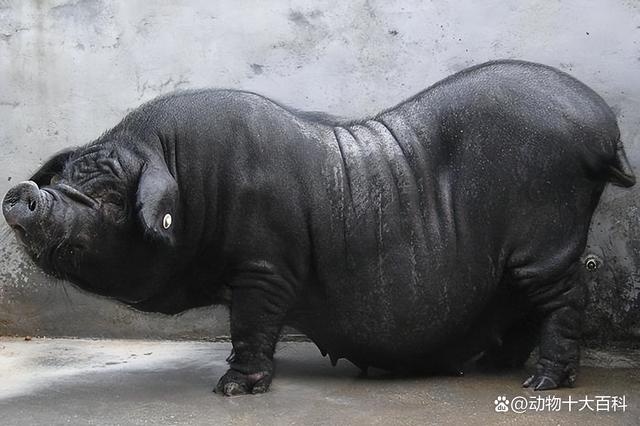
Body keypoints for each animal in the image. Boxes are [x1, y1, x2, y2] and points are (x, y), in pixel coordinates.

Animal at [3, 60, 635, 395]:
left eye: (110, 195)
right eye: (67, 176)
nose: (24, 192)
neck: (192, 178)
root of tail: (602, 126)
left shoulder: (264, 265)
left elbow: (251, 324)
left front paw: (232, 389)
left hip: (544, 235)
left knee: (566, 296)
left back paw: (540, 384)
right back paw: (496, 367)